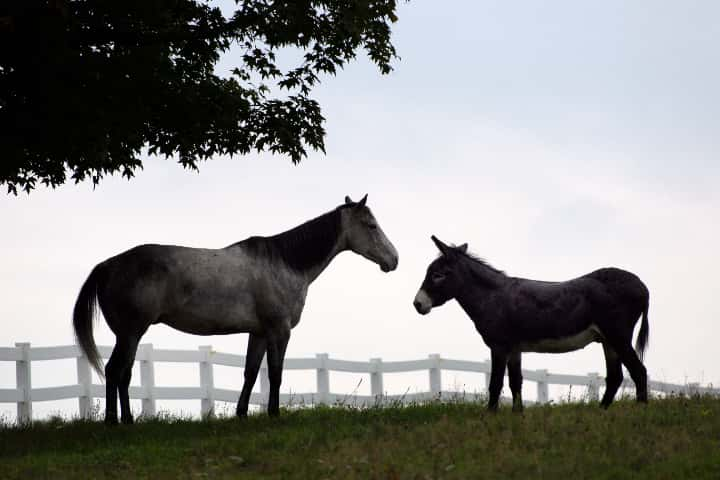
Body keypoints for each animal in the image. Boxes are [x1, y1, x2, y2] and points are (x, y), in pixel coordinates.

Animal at [73, 195, 400, 424]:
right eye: (371, 225)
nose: (394, 259)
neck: (284, 262)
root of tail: (107, 266)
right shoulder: (279, 331)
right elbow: (275, 373)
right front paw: (274, 414)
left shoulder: (258, 333)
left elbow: (251, 373)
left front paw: (242, 414)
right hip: (131, 333)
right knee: (117, 371)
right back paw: (118, 421)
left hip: (128, 335)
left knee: (119, 372)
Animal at [414, 234, 648, 410]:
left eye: (437, 275)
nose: (417, 304)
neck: (492, 297)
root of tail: (642, 286)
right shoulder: (515, 348)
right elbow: (515, 382)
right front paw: (517, 416)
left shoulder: (499, 346)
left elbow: (495, 384)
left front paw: (490, 417)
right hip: (608, 340)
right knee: (615, 377)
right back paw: (601, 412)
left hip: (618, 335)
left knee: (638, 371)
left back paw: (640, 410)